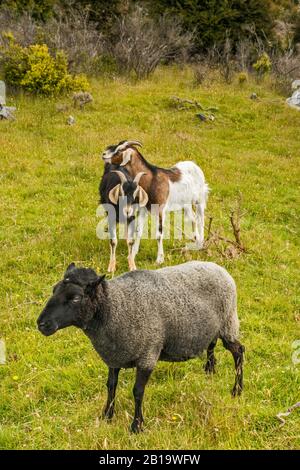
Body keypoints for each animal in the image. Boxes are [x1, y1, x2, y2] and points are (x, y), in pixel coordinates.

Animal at [37, 260, 245, 434]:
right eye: (54, 289)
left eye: (75, 298)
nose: (41, 324)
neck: (115, 306)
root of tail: (218, 267)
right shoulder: (114, 356)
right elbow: (111, 386)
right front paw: (107, 416)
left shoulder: (147, 356)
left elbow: (137, 392)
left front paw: (137, 426)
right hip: (213, 327)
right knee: (211, 344)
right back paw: (210, 370)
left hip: (228, 321)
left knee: (238, 351)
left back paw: (237, 390)